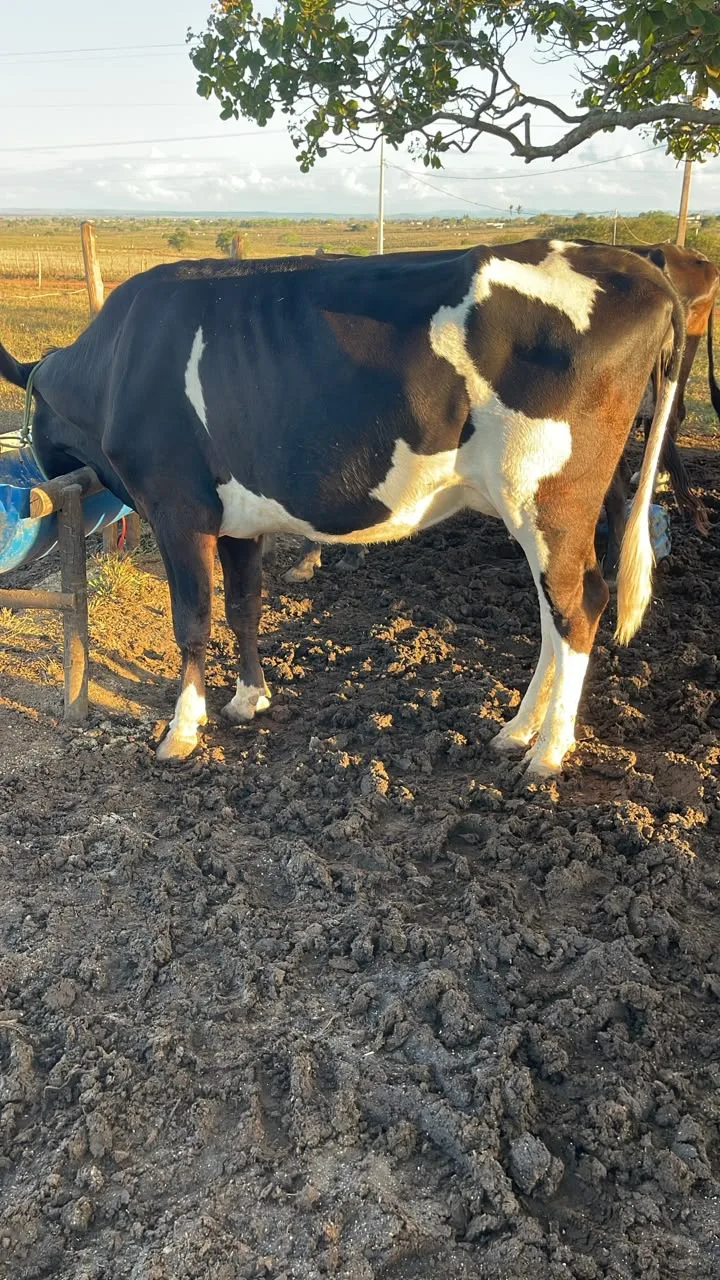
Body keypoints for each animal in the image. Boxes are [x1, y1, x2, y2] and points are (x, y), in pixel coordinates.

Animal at [0, 240, 684, 777]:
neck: (118, 363)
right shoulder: (238, 518)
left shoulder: (177, 506)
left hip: (548, 495)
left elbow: (192, 620)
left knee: (578, 605)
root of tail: (637, 268)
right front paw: (249, 699)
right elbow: (244, 607)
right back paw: (515, 731)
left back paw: (547, 753)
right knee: (554, 612)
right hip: (540, 508)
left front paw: (183, 731)